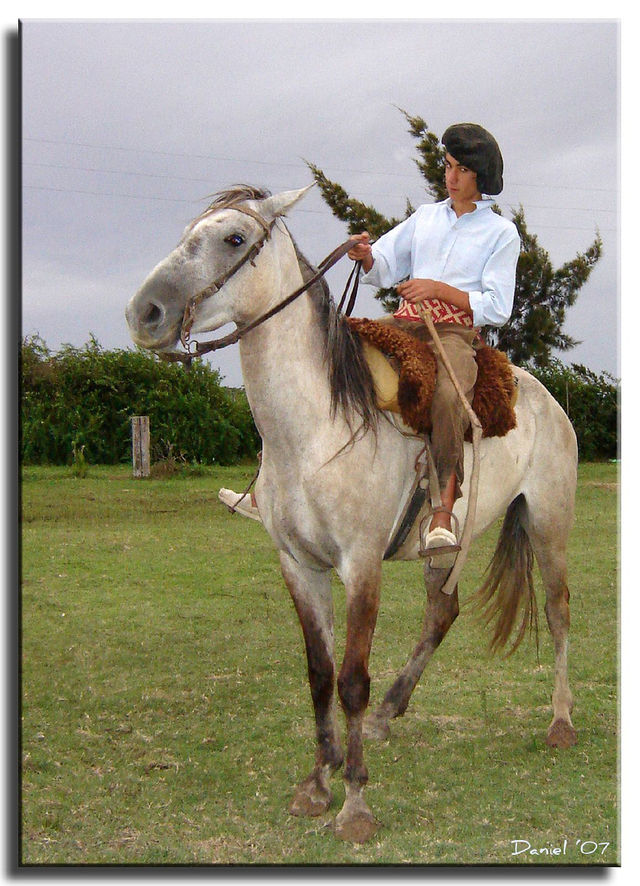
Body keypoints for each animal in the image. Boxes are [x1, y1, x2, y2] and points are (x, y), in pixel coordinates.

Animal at [125, 184, 580, 844]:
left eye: (235, 238)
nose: (145, 313)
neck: (315, 427)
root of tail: (544, 397)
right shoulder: (298, 565)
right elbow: (319, 674)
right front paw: (317, 783)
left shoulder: (361, 566)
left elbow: (352, 679)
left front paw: (355, 804)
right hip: (446, 547)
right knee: (443, 612)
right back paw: (390, 715)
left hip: (549, 522)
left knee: (558, 609)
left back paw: (561, 722)